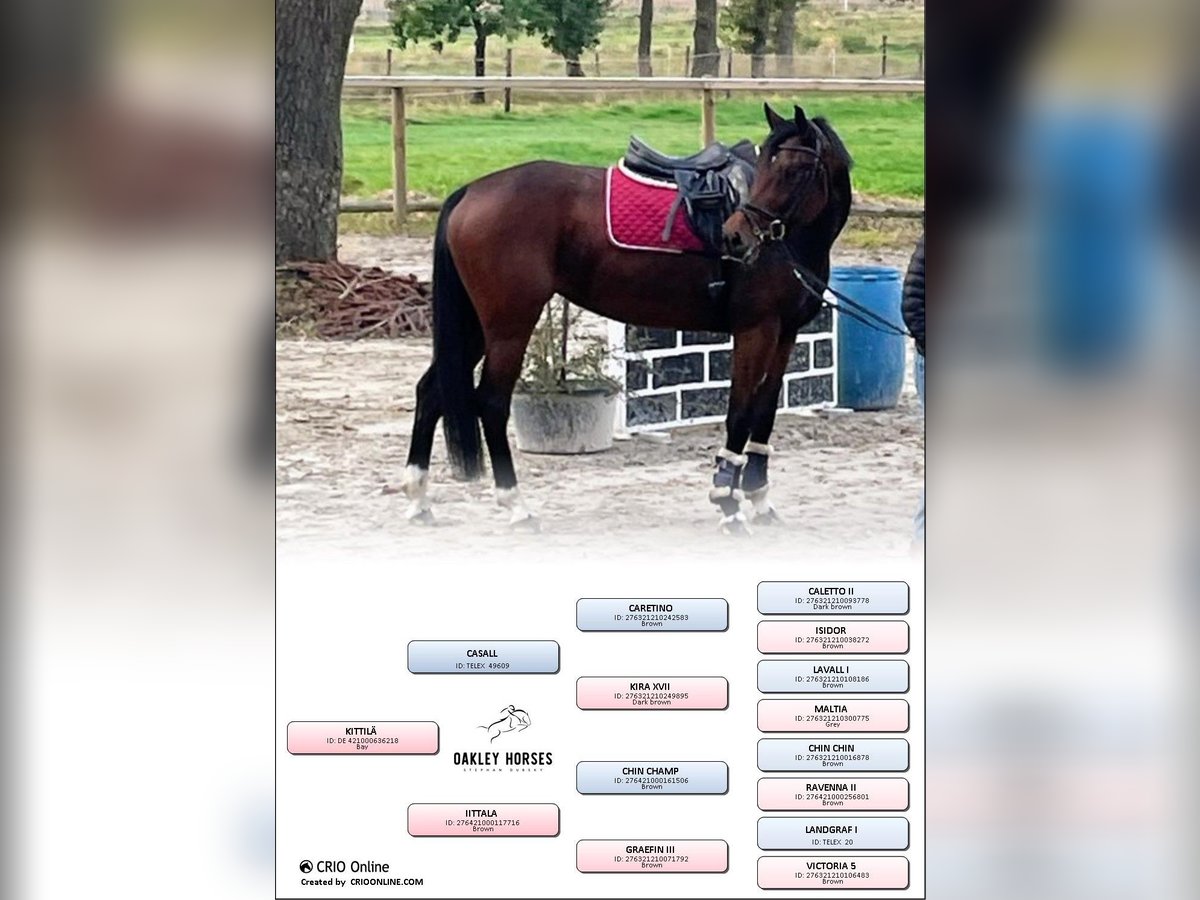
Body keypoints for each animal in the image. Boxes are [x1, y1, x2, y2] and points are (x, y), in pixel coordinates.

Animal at [401, 103, 853, 534]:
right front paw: (728, 504)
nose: (735, 237)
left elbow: (764, 413)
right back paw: (517, 507)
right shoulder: (755, 332)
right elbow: (740, 414)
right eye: (768, 166)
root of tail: (471, 190)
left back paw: (419, 500)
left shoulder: (785, 334)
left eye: (795, 170)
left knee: (431, 391)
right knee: (492, 403)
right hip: (508, 325)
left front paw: (758, 498)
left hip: (476, 327)